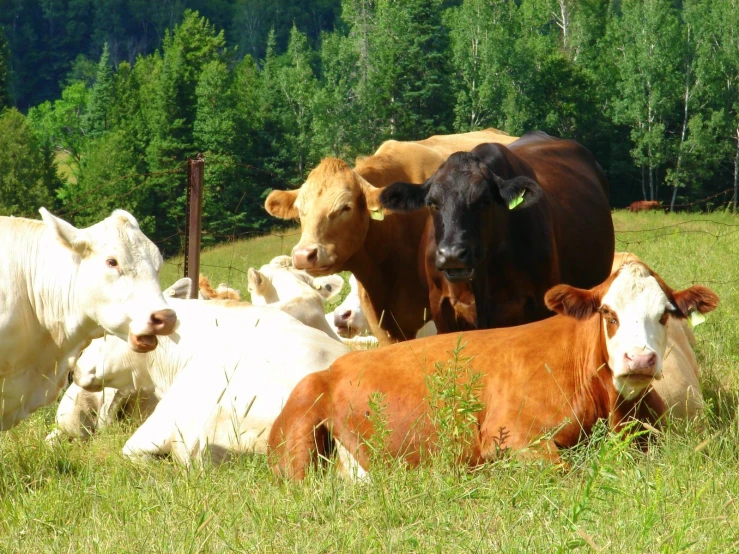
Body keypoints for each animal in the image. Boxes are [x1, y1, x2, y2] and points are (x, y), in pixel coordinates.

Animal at [268, 260, 720, 478]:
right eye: (608, 313)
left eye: (666, 314)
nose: (640, 359)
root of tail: (337, 365)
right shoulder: (513, 437)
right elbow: (567, 468)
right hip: (299, 448)